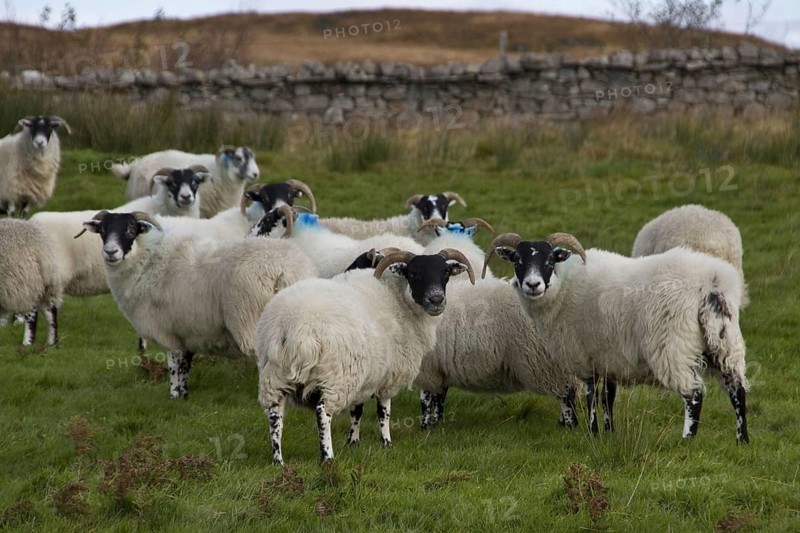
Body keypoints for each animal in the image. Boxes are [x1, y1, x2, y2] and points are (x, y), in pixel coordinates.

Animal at [78, 210, 317, 399]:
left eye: (130, 229)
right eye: (102, 230)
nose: (110, 252)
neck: (145, 261)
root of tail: (284, 270)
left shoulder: (168, 333)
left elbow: (174, 369)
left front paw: (174, 398)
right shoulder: (188, 332)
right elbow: (185, 369)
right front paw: (184, 398)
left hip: (250, 321)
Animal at [257, 248, 475, 464]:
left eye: (445, 273)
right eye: (413, 274)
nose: (437, 300)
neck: (399, 298)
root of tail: (291, 325)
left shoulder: (363, 376)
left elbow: (357, 411)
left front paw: (353, 441)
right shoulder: (388, 376)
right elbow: (383, 412)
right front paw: (386, 442)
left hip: (274, 375)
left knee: (275, 415)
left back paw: (278, 460)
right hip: (334, 376)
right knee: (323, 413)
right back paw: (327, 457)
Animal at [484, 232, 750, 444]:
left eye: (550, 260)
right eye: (517, 260)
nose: (533, 284)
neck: (562, 286)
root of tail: (711, 283)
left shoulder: (583, 356)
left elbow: (591, 397)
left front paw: (592, 433)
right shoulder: (609, 356)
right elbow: (607, 397)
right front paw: (609, 431)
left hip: (674, 347)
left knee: (694, 394)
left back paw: (687, 439)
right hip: (725, 342)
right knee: (736, 388)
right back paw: (742, 439)